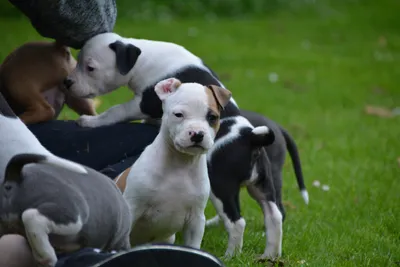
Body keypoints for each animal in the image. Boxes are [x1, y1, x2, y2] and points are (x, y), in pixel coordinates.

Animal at [123, 77, 233, 249]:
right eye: (179, 115)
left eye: (212, 117)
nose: (197, 134)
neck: (181, 163)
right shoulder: (132, 208)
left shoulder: (195, 220)